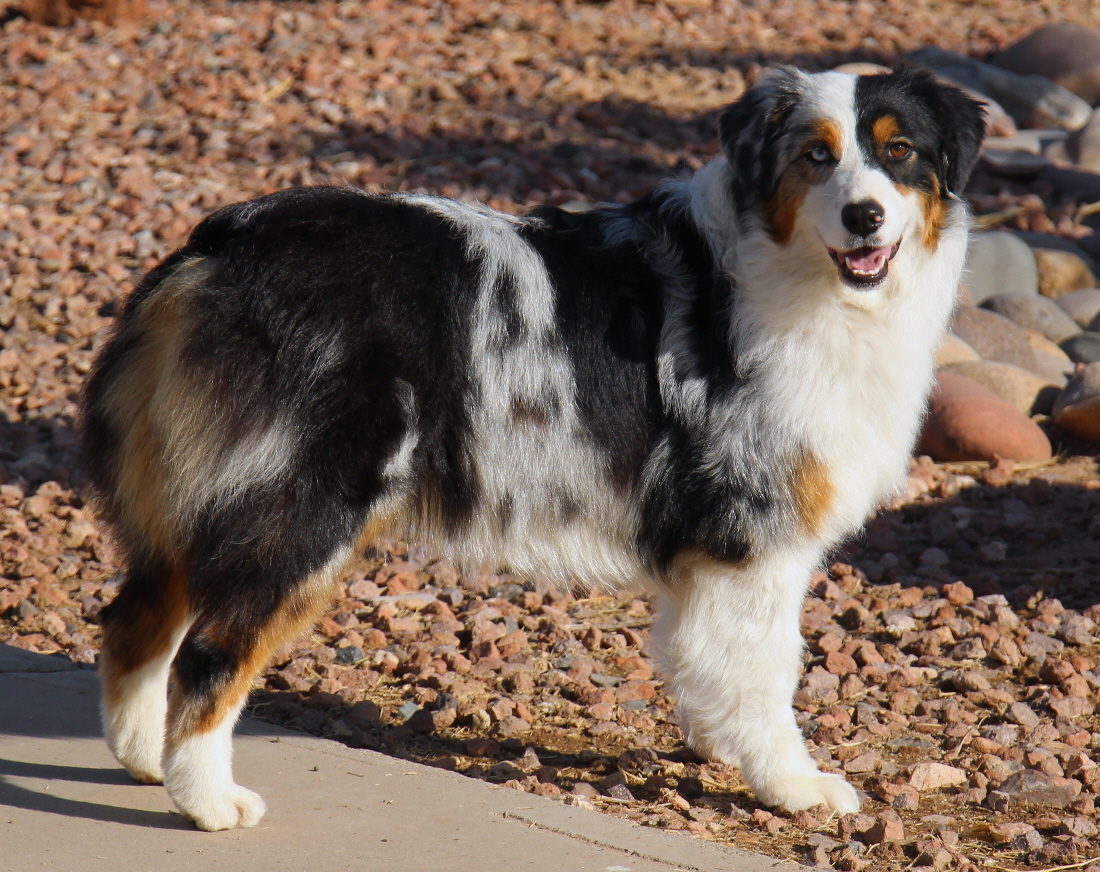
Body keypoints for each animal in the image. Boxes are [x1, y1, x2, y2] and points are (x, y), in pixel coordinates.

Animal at [81, 64, 985, 826]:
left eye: (899, 152)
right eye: (814, 156)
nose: (865, 215)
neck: (791, 269)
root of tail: (220, 244)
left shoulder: (708, 549)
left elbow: (709, 662)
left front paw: (720, 747)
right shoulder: (753, 538)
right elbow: (767, 673)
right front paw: (794, 786)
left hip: (198, 500)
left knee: (134, 623)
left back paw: (143, 760)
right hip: (302, 511)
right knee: (210, 653)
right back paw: (207, 802)